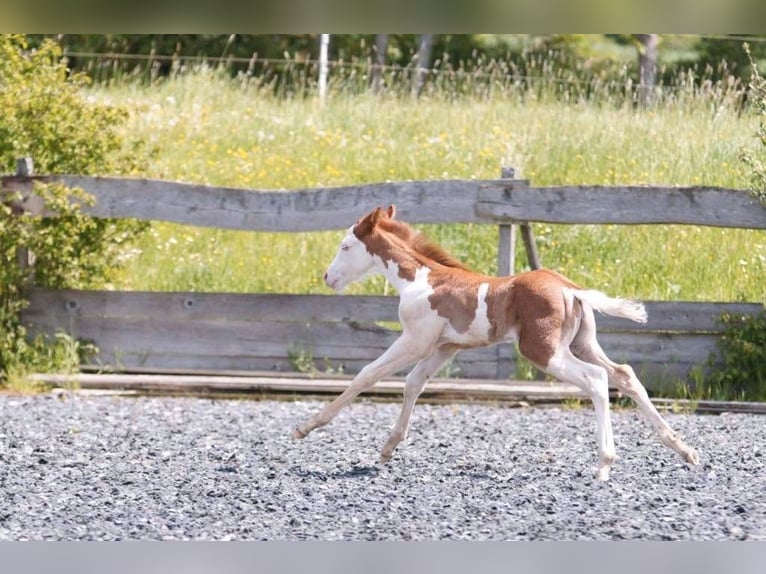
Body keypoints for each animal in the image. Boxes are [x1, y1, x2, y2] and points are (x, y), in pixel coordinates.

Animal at [296, 206, 704, 482]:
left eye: (345, 246)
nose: (328, 277)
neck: (421, 280)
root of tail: (572, 289)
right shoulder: (445, 347)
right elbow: (414, 384)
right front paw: (388, 447)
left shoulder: (415, 340)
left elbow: (367, 374)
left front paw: (307, 426)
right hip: (583, 344)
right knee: (625, 375)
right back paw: (683, 449)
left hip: (544, 352)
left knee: (597, 380)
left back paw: (604, 464)